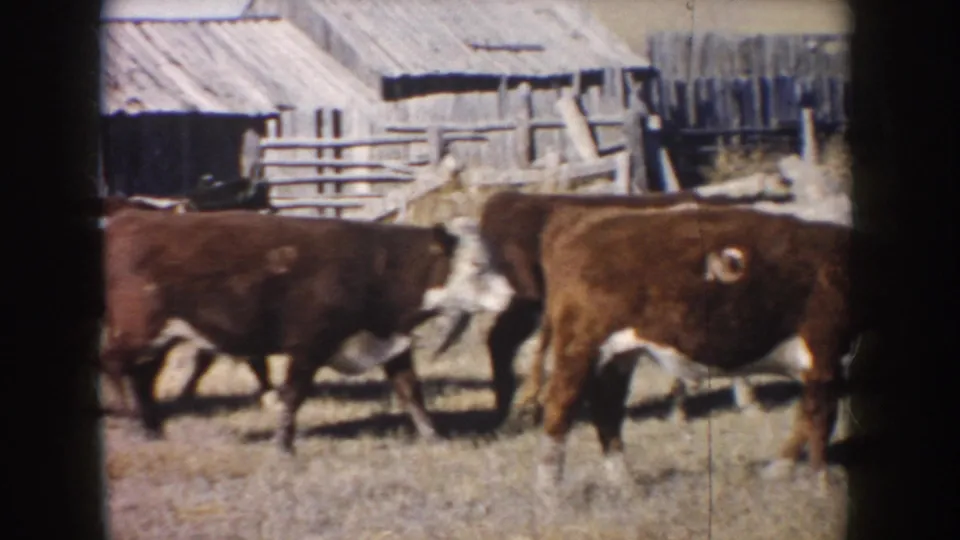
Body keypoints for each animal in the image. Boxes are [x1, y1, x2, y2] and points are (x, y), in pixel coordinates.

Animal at [100, 209, 514, 453]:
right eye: (477, 265)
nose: (510, 295)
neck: (375, 265)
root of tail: (129, 219)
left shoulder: (391, 343)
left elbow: (412, 392)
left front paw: (434, 437)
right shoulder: (308, 346)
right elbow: (293, 395)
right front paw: (284, 444)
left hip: (161, 337)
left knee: (142, 377)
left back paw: (152, 427)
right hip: (138, 330)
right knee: (112, 364)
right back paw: (128, 418)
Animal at [529, 203, 882, 502]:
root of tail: (580, 218)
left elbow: (806, 419)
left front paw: (779, 470)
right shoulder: (825, 355)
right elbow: (820, 420)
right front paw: (821, 483)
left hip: (619, 356)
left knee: (607, 412)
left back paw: (627, 484)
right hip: (580, 347)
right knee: (561, 408)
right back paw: (550, 494)